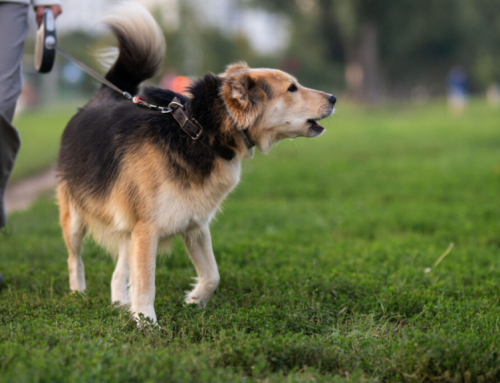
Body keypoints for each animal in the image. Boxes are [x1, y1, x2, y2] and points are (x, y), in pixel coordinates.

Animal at [55, 2, 336, 328]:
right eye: (292, 88)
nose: (334, 97)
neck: (199, 132)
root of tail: (102, 98)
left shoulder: (195, 224)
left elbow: (212, 275)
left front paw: (194, 301)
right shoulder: (147, 230)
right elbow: (146, 282)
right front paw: (147, 324)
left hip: (126, 225)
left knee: (117, 272)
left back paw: (118, 304)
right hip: (75, 217)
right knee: (74, 259)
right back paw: (79, 295)